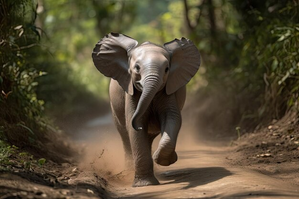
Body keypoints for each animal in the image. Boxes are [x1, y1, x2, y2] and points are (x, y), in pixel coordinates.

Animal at [91, 32, 202, 187]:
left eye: (167, 69)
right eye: (137, 68)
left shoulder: (168, 90)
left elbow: (173, 117)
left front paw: (162, 159)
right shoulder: (131, 92)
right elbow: (136, 127)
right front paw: (145, 184)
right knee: (125, 135)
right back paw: (129, 171)